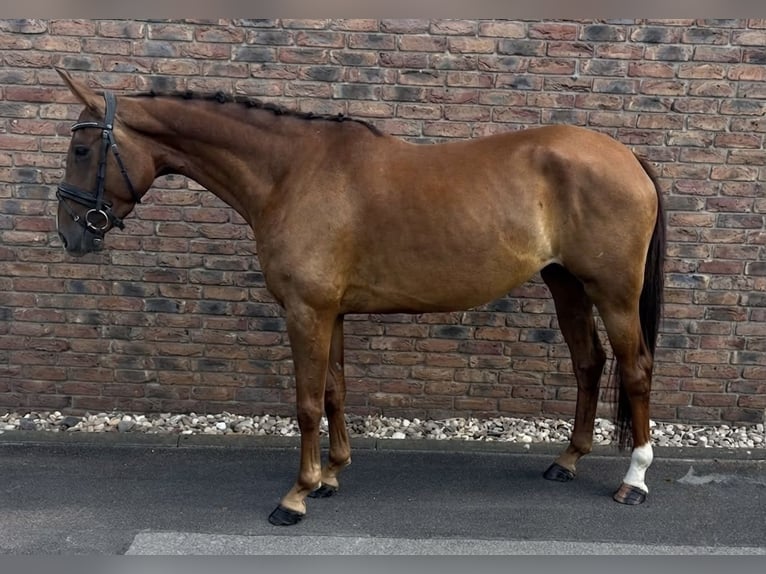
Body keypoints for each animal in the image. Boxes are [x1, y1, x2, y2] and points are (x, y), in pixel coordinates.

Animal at [54, 69, 665, 526]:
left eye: (82, 148)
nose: (69, 234)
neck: (290, 173)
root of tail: (625, 155)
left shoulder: (306, 312)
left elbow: (305, 403)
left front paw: (296, 496)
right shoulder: (333, 312)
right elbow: (334, 391)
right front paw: (331, 476)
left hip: (613, 292)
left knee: (635, 368)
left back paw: (635, 479)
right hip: (566, 285)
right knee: (589, 364)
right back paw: (568, 460)